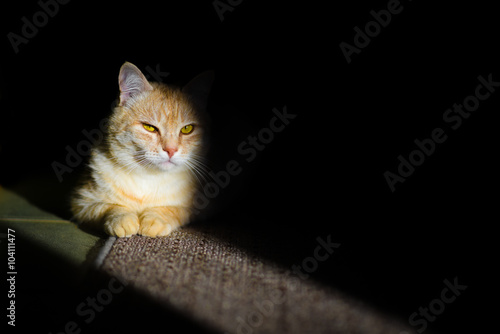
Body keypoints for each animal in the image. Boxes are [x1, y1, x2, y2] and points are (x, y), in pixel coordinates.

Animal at [71, 60, 213, 237]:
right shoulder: (81, 202)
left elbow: (176, 209)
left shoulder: (202, 206)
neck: (149, 177)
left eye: (187, 129)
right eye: (149, 127)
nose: (171, 150)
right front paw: (122, 218)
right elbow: (106, 207)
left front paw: (155, 218)